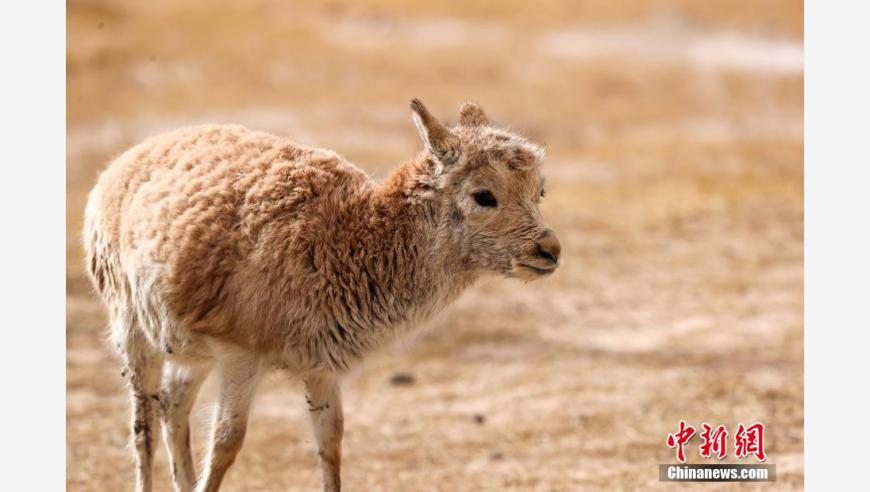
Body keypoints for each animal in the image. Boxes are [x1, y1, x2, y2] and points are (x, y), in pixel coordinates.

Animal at [85, 98, 564, 490]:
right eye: (484, 195)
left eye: (539, 190)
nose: (550, 250)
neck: (345, 237)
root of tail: (124, 161)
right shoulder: (242, 358)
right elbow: (225, 444)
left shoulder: (321, 368)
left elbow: (331, 445)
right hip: (133, 330)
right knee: (144, 424)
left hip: (190, 349)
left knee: (172, 405)